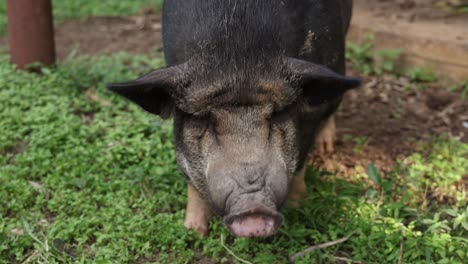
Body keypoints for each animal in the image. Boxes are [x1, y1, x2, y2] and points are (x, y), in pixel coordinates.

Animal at [107, 0, 362, 237]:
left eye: (277, 114)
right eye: (204, 120)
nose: (254, 211)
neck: (237, 56)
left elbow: (301, 161)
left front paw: (299, 207)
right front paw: (193, 231)